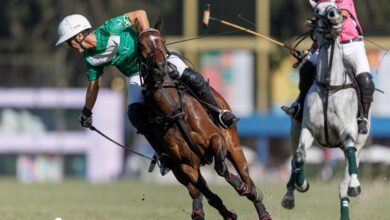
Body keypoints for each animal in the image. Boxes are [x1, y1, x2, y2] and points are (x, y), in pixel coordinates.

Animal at [136, 24, 272, 219]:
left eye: (162, 41)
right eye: (140, 45)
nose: (160, 67)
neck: (174, 111)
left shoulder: (216, 139)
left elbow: (222, 169)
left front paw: (246, 190)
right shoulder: (184, 165)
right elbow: (207, 191)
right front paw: (226, 210)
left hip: (234, 146)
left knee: (246, 175)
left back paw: (260, 207)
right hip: (181, 170)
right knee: (203, 192)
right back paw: (213, 213)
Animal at [282, 0, 370, 219]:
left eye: (338, 7)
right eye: (317, 10)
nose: (334, 16)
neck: (330, 85)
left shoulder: (348, 131)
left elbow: (350, 153)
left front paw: (355, 185)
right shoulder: (307, 128)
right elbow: (300, 156)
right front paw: (302, 184)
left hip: (361, 140)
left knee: (345, 181)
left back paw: (352, 188)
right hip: (294, 131)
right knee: (293, 160)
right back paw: (289, 195)